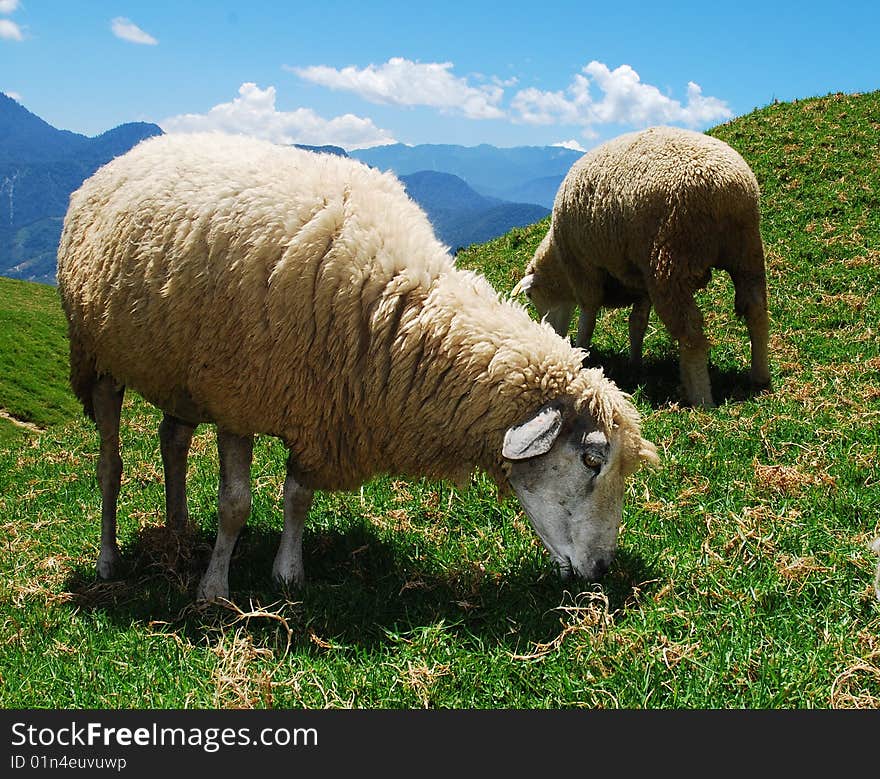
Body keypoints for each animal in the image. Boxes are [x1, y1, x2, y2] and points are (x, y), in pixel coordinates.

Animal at [56, 133, 660, 604]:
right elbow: (235, 504)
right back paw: (109, 559)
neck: (395, 309)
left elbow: (297, 494)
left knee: (172, 440)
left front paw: (287, 573)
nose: (602, 570)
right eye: (591, 459)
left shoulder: (318, 404)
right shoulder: (239, 396)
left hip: (179, 373)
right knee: (109, 465)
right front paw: (215, 590)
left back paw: (179, 529)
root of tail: (126, 155)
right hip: (98, 356)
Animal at [512, 123, 768, 408]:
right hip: (746, 252)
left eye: (530, 296)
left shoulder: (585, 271)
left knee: (691, 332)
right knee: (756, 310)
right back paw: (760, 375)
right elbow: (637, 323)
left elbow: (587, 318)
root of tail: (725, 190)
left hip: (670, 262)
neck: (559, 265)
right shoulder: (639, 280)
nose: (550, 334)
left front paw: (582, 352)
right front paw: (635, 363)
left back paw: (702, 398)